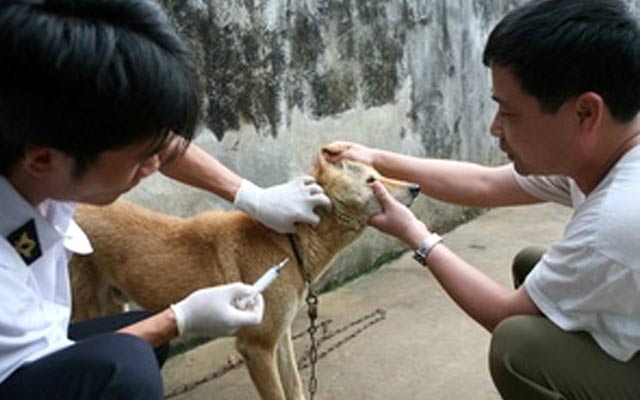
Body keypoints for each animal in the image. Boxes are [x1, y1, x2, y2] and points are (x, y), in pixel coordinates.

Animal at [70, 148, 420, 398]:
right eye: (372, 180)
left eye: (380, 174)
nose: (417, 186)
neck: (290, 240)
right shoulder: (256, 348)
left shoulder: (280, 339)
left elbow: (295, 387)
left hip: (114, 303)